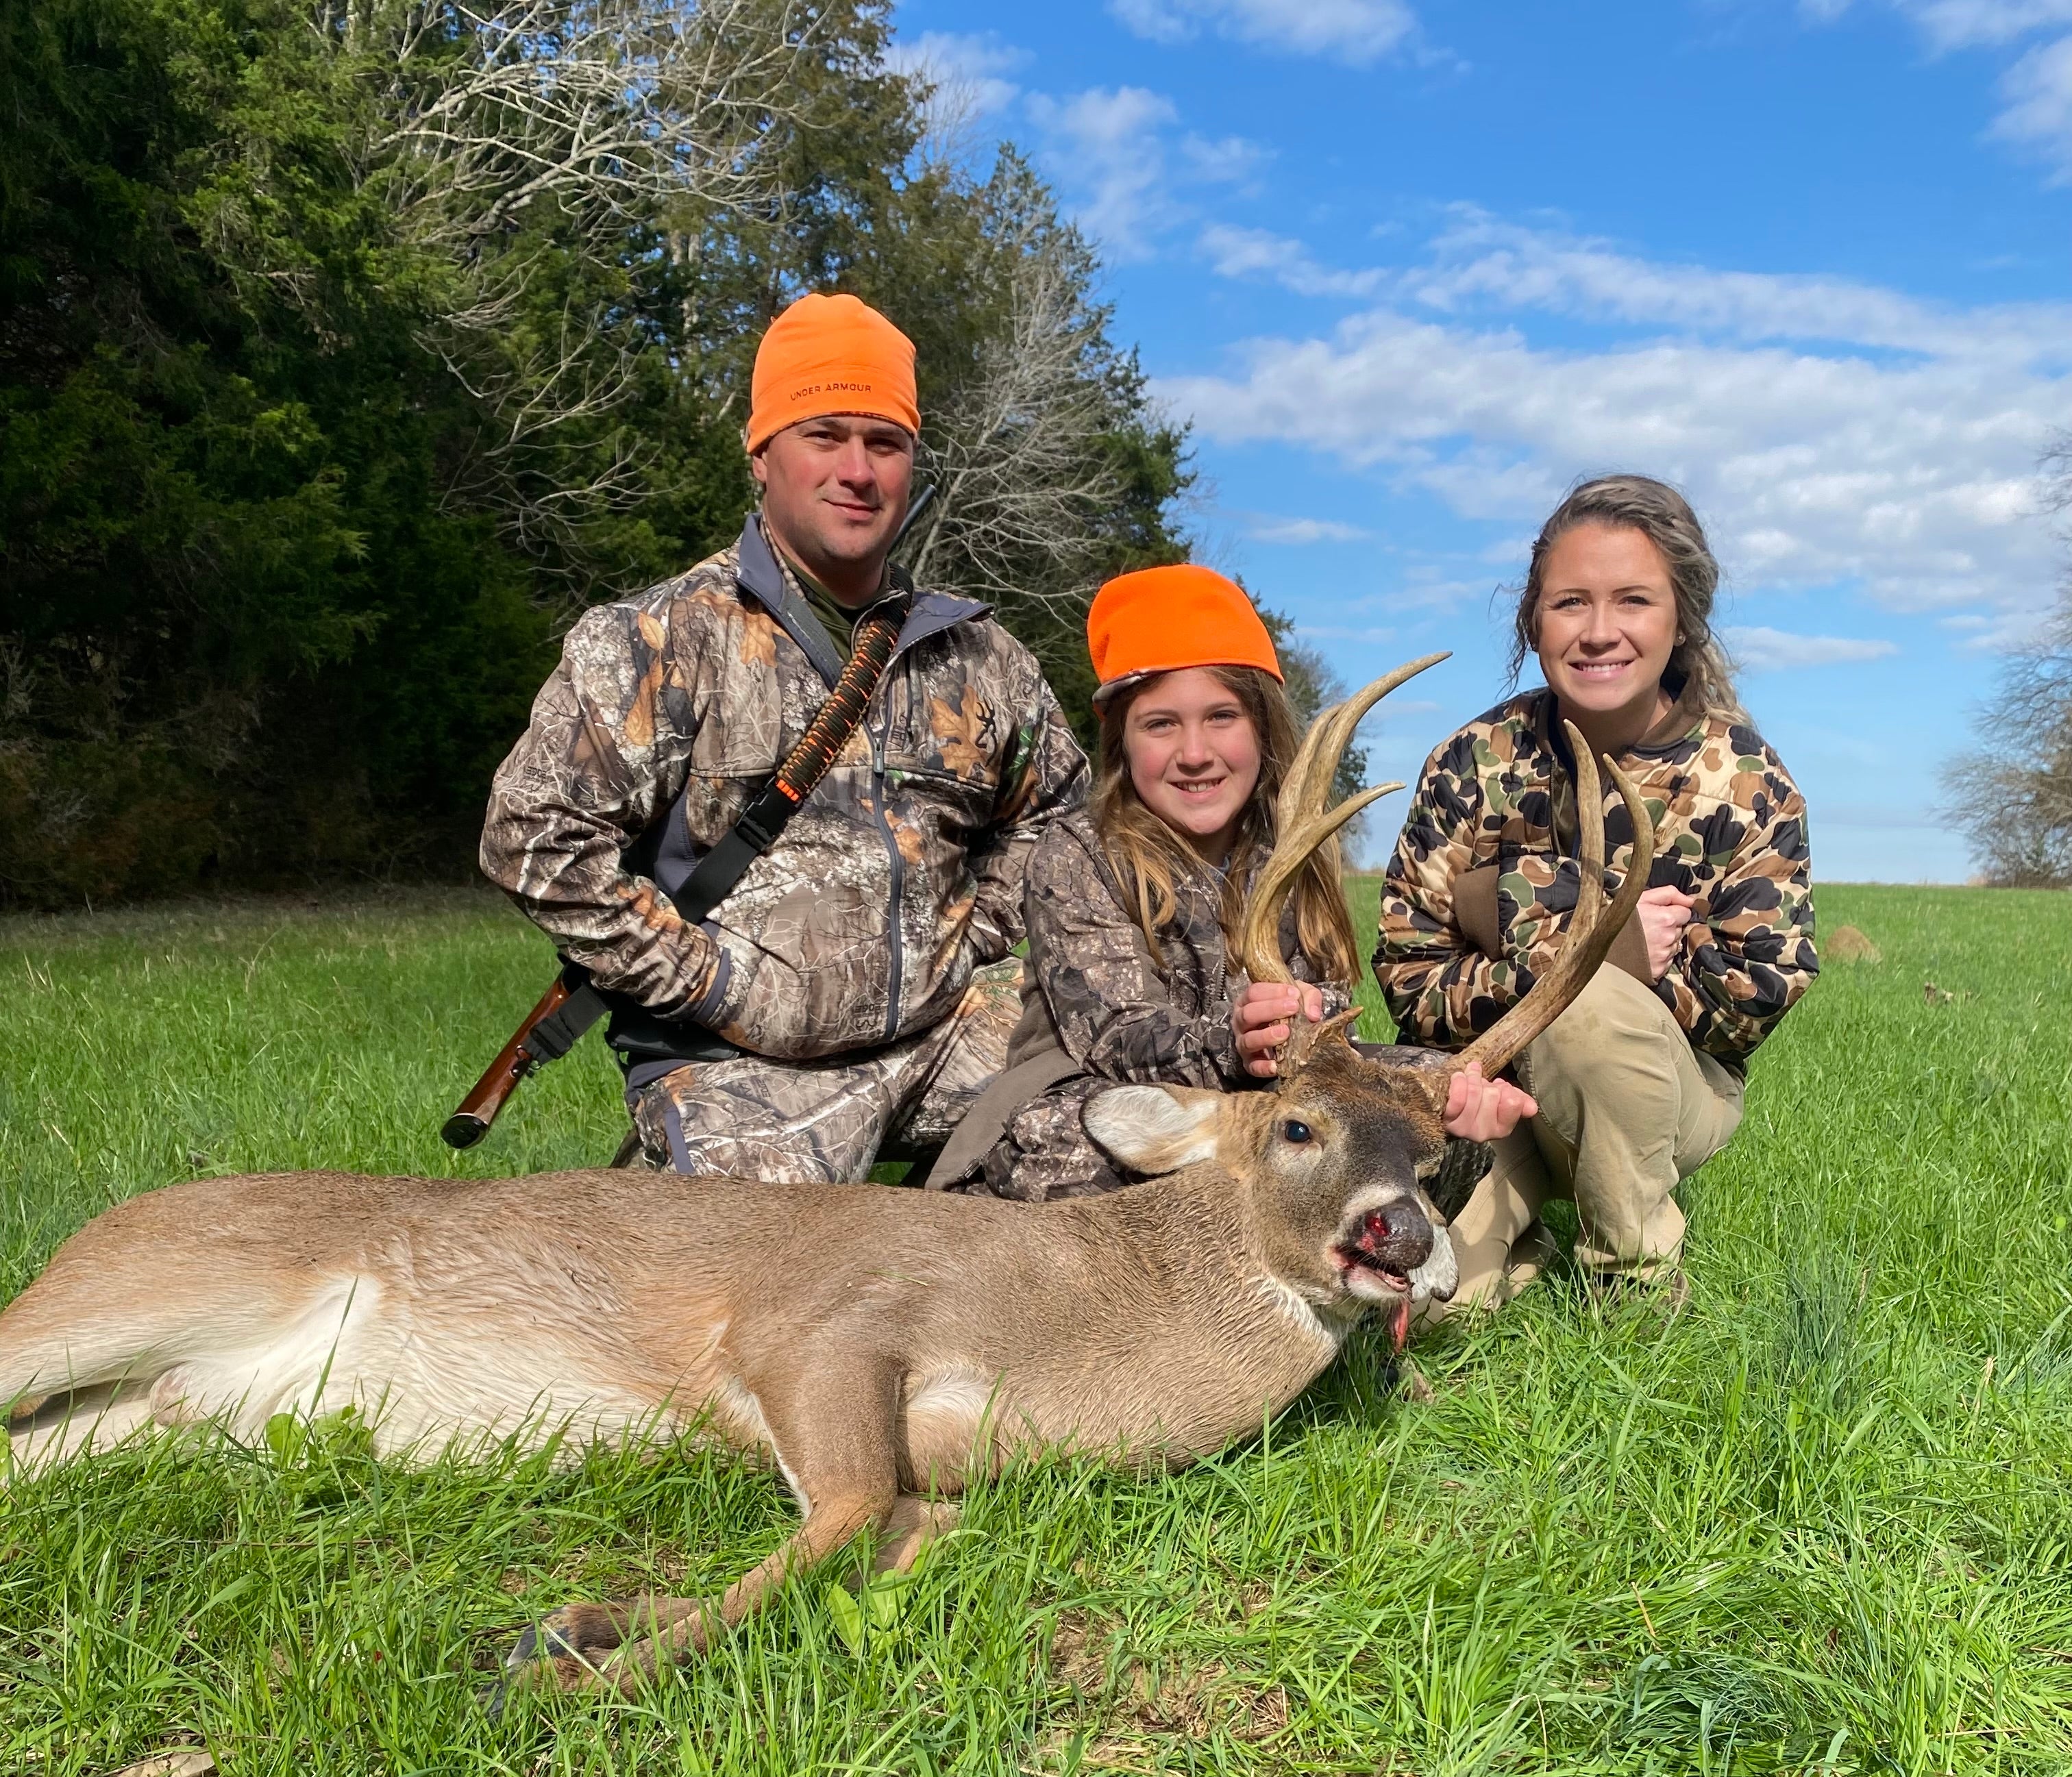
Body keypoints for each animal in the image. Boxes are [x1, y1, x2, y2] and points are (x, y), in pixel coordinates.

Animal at [0, 671, 1649, 1698]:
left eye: (1434, 1154)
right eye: (1298, 1124)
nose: (1401, 1235)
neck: (1076, 1321)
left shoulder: (947, 1452)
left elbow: (913, 1522)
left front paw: (581, 1624)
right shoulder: (813, 1319)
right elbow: (851, 1511)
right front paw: (569, 1662)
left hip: (155, 1416)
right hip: (127, 1288)